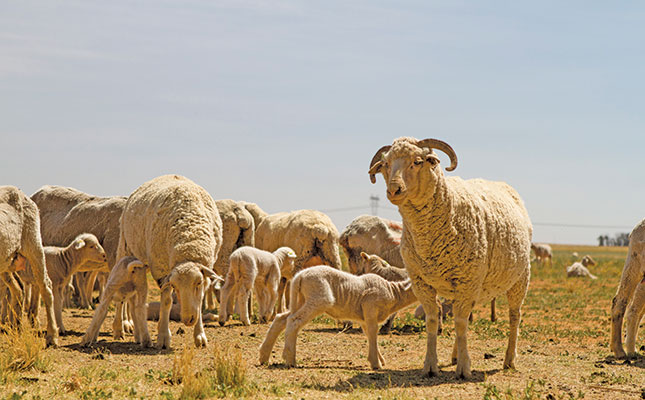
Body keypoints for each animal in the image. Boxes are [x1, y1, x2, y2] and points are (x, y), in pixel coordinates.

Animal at [0, 186, 58, 346]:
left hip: (33, 243)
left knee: (46, 286)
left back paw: (52, 336)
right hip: (7, 261)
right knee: (18, 289)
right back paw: (17, 331)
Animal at [115, 174, 224, 346]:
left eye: (198, 283)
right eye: (174, 285)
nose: (188, 319)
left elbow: (199, 301)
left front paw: (200, 336)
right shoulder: (161, 270)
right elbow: (166, 301)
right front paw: (163, 336)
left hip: (140, 263)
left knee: (134, 298)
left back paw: (138, 333)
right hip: (125, 249)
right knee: (121, 293)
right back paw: (120, 328)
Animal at [258, 264, 416, 370]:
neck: (393, 293)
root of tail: (300, 276)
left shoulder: (364, 317)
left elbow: (369, 334)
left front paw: (380, 359)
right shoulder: (370, 307)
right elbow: (373, 333)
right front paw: (376, 364)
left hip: (301, 298)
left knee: (281, 318)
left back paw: (264, 356)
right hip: (319, 298)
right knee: (293, 321)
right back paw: (290, 359)